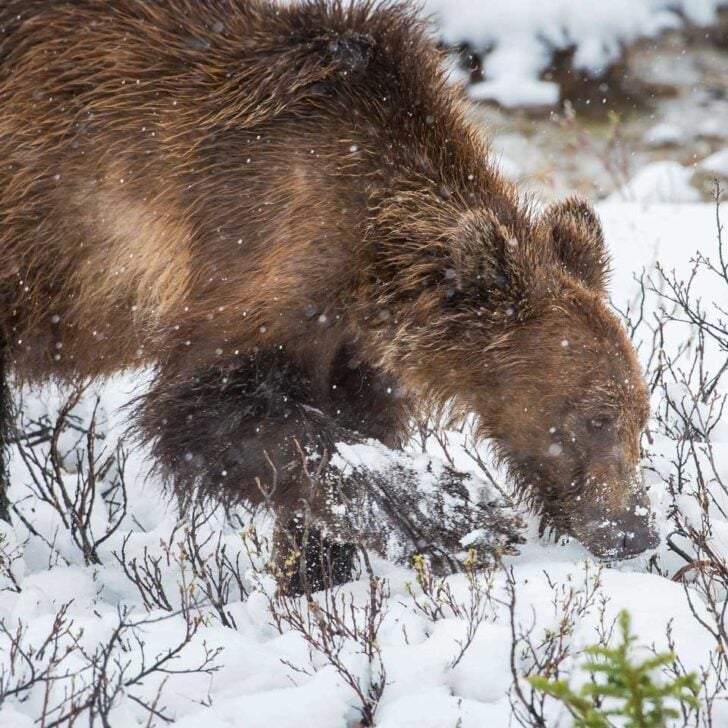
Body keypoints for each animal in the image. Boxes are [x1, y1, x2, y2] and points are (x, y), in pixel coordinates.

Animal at [0, 0, 657, 585]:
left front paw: (316, 571)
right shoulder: (254, 245)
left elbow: (344, 434)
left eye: (640, 416)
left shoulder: (354, 346)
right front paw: (453, 517)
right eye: (596, 418)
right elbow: (207, 412)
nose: (635, 530)